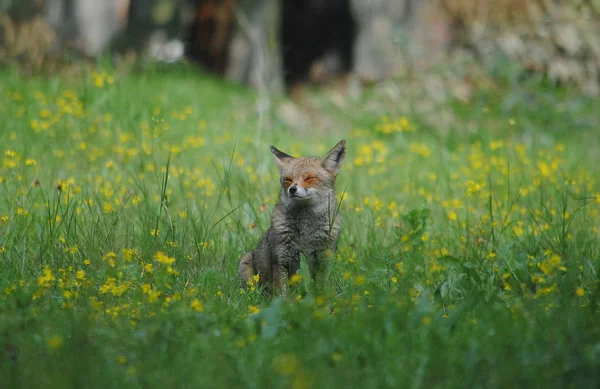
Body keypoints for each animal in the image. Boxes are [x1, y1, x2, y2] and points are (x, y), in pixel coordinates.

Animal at [237, 139, 344, 298]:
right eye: (288, 179)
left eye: (309, 178)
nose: (292, 189)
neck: (307, 232)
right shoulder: (282, 260)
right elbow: (282, 294)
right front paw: (285, 304)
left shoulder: (324, 258)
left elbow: (322, 287)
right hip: (247, 266)